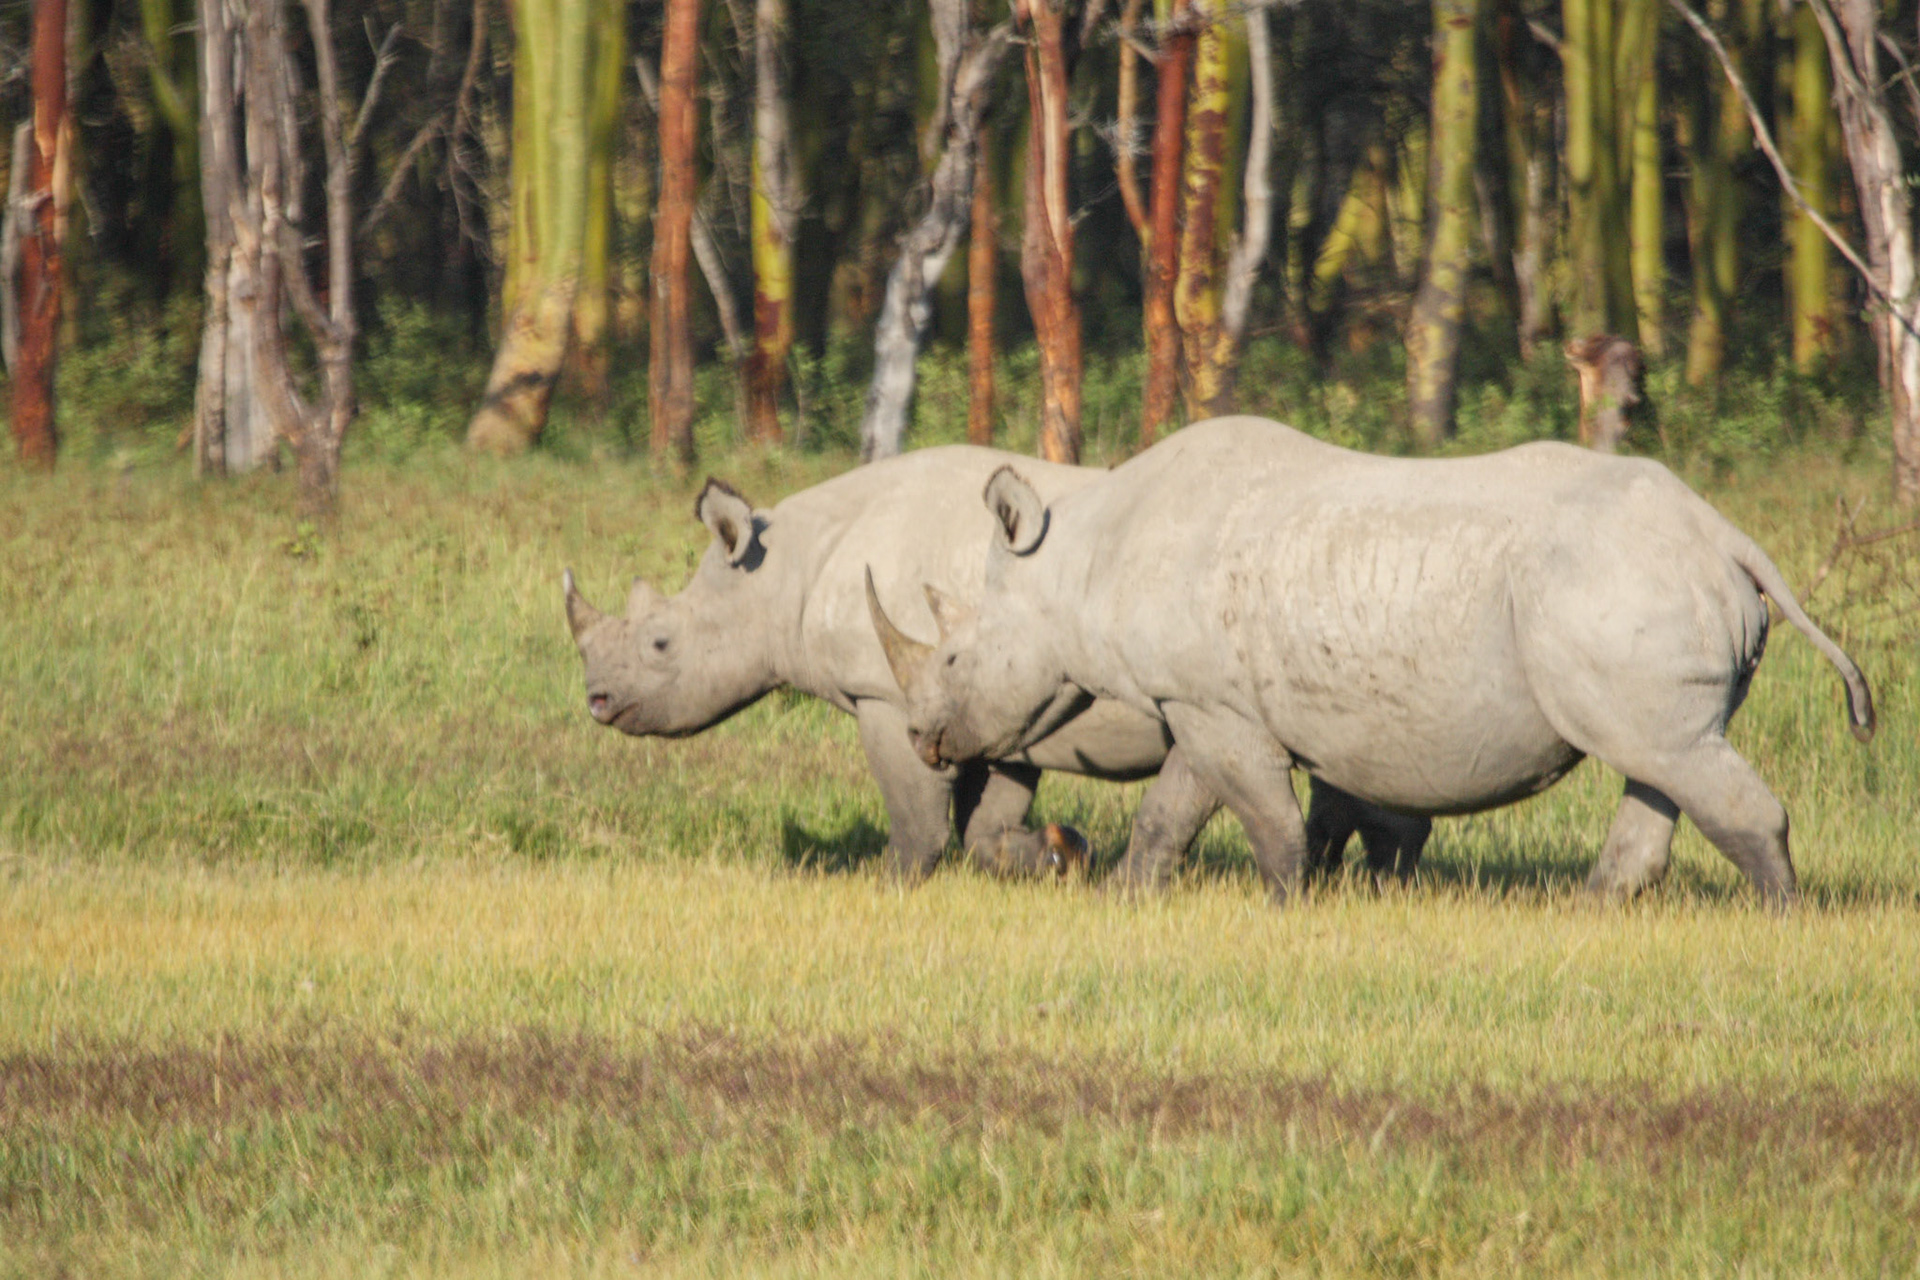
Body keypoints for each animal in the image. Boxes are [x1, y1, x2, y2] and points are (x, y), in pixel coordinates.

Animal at [562, 446, 1426, 882]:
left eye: (660, 644)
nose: (597, 701)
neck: (787, 572)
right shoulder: (986, 707)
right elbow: (986, 820)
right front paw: (1054, 854)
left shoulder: (887, 695)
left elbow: (918, 817)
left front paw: (888, 886)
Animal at [874, 417, 1874, 906]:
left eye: (954, 656)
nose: (923, 739)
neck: (1076, 556)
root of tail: (1728, 536)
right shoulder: (1202, 700)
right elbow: (1175, 810)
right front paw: (1126, 897)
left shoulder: (1212, 704)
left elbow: (1254, 812)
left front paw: (1286, 904)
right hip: (1637, 589)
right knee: (1662, 756)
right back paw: (1590, 914)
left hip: (1615, 581)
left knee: (1671, 756)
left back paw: (1781, 919)